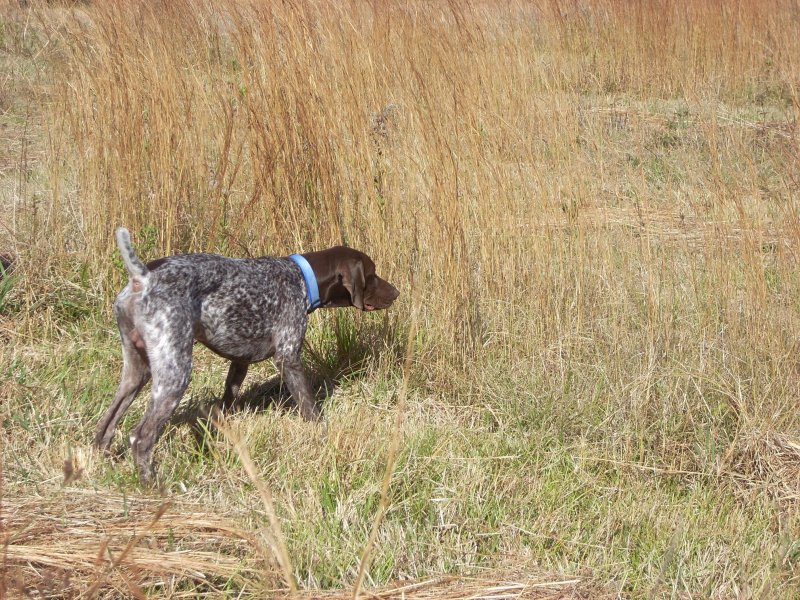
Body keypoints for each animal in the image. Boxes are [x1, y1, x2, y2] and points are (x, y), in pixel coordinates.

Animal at [94, 227, 400, 486]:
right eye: (372, 274)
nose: (397, 292)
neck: (302, 279)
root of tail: (142, 278)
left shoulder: (239, 362)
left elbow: (227, 402)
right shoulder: (288, 357)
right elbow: (310, 408)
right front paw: (323, 437)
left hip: (137, 371)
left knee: (106, 425)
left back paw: (99, 461)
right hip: (175, 374)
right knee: (140, 438)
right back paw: (154, 486)